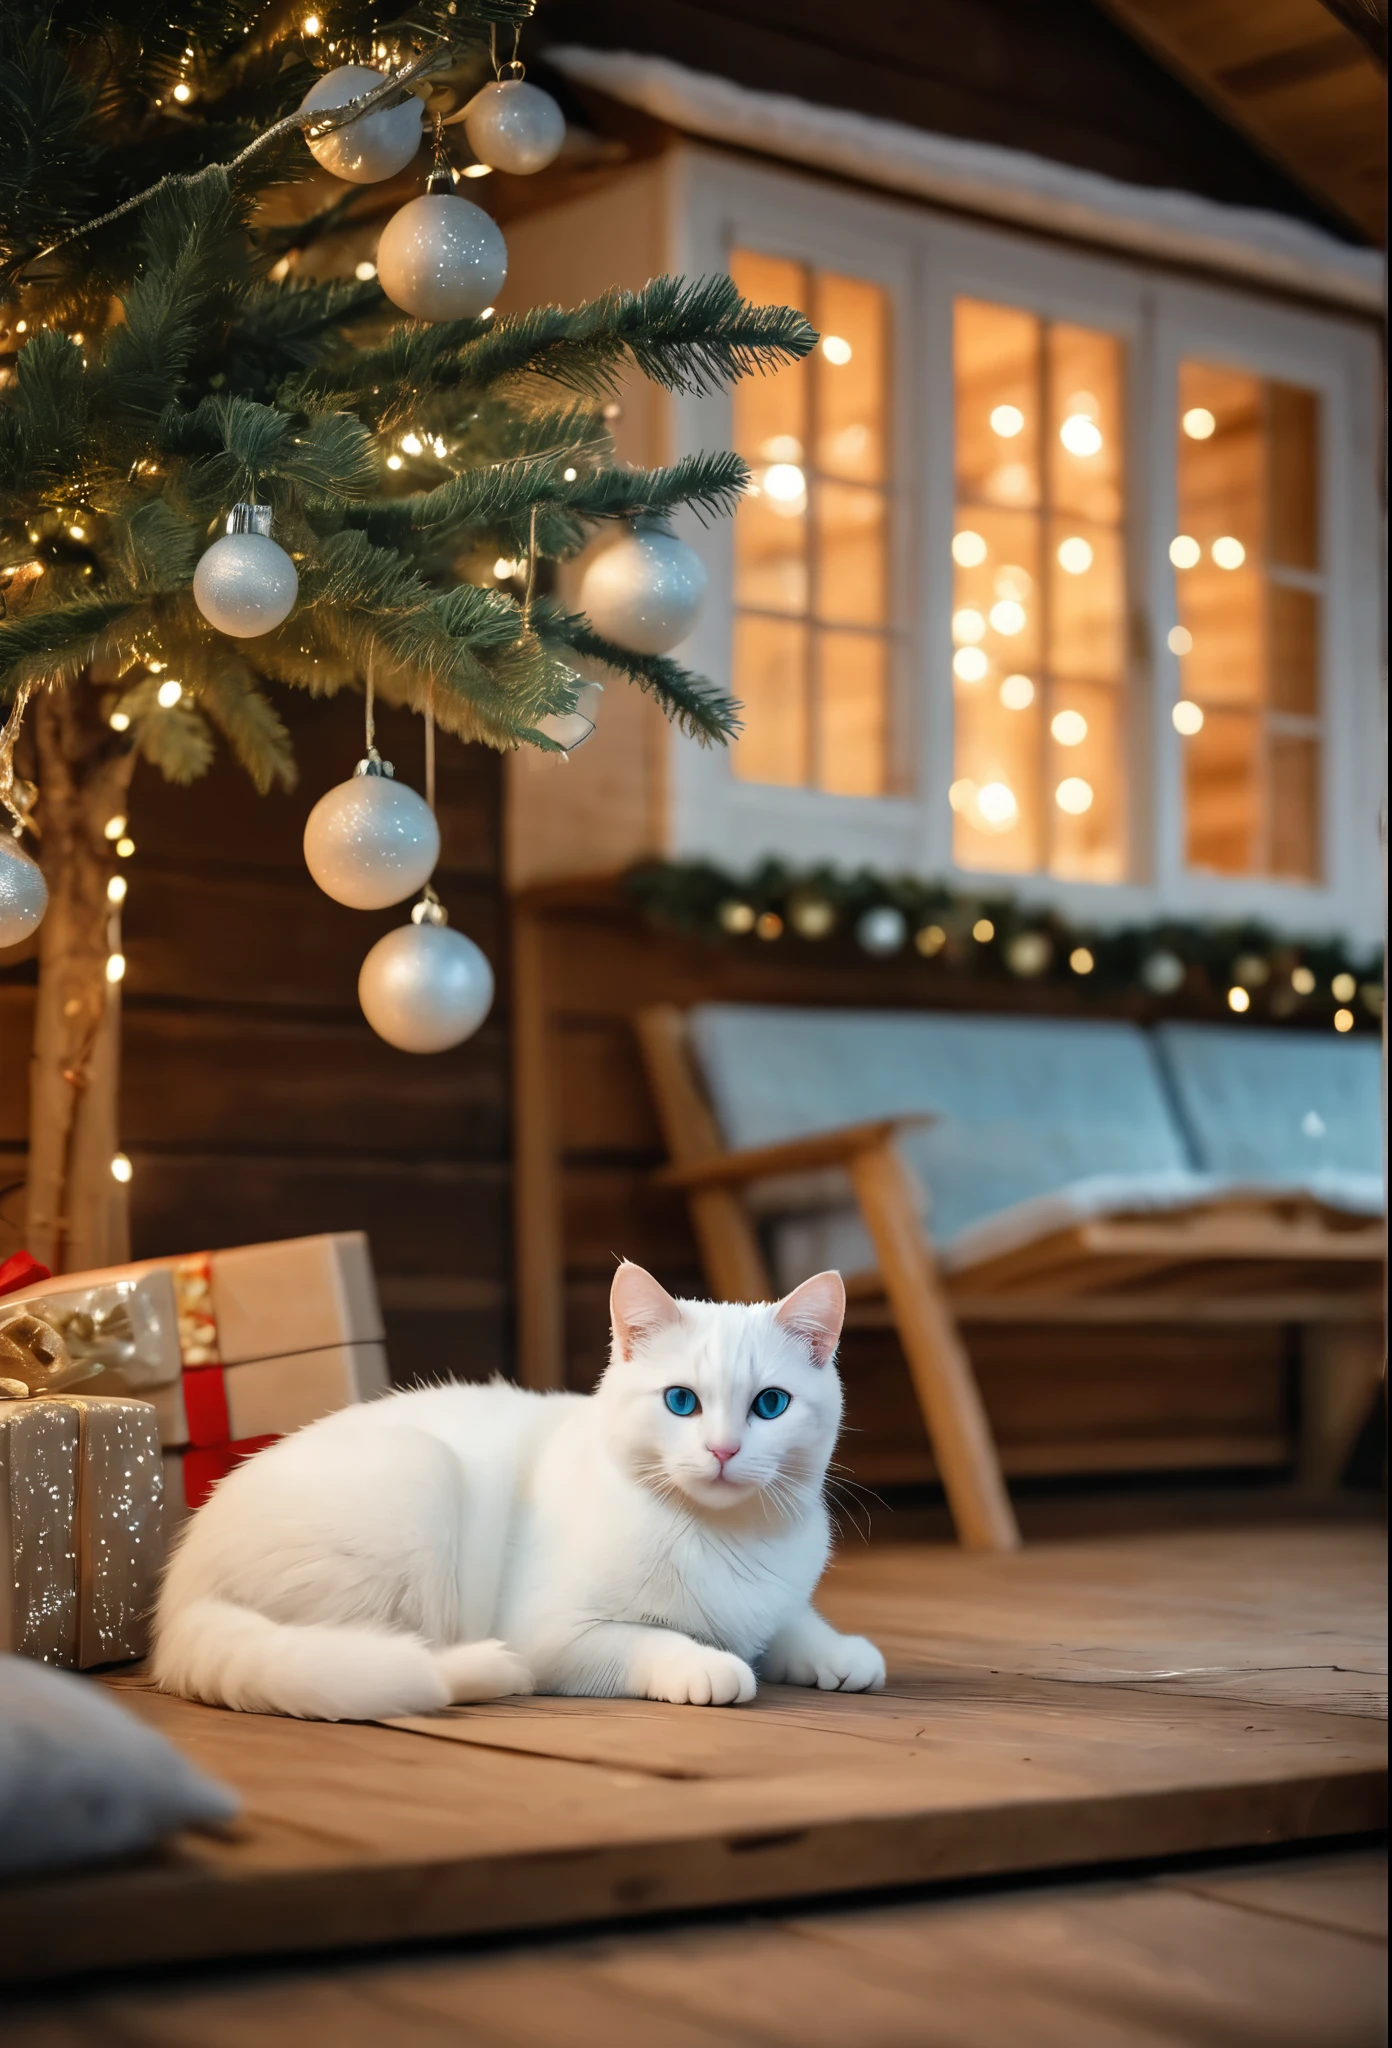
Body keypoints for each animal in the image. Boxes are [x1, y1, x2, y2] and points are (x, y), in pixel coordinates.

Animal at [152, 1261, 884, 1712]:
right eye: (681, 1402)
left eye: (770, 1405)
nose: (725, 1450)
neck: (723, 1536)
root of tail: (182, 1596)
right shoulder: (556, 1633)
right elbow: (651, 1639)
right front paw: (709, 1663)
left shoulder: (774, 1600)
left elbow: (792, 1621)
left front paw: (839, 1652)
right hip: (421, 1476)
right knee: (370, 1659)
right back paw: (483, 1669)